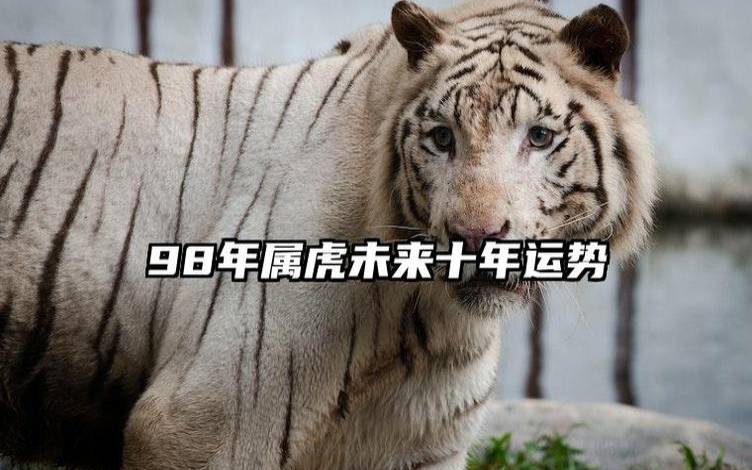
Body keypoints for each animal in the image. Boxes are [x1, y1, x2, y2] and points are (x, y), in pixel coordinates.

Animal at [0, 0, 657, 468]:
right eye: (442, 137)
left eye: (538, 137)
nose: (474, 235)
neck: (425, 320)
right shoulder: (201, 423)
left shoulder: (422, 445)